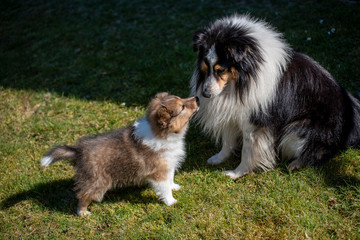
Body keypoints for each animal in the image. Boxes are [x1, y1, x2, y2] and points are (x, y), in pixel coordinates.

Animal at [41, 92, 202, 216]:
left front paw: (174, 187)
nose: (198, 97)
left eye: (181, 98)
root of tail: (78, 151)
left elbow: (170, 179)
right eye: (182, 107)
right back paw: (83, 213)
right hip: (97, 181)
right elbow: (164, 188)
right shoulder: (158, 173)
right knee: (83, 195)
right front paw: (171, 202)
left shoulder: (168, 165)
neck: (163, 135)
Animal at [191, 14, 360, 179]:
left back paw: (296, 164)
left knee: (322, 153)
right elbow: (227, 140)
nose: (205, 94)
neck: (242, 79)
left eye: (220, 70)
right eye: (205, 69)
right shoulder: (233, 111)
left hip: (296, 130)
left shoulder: (256, 121)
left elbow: (248, 150)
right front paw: (218, 159)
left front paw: (236, 173)